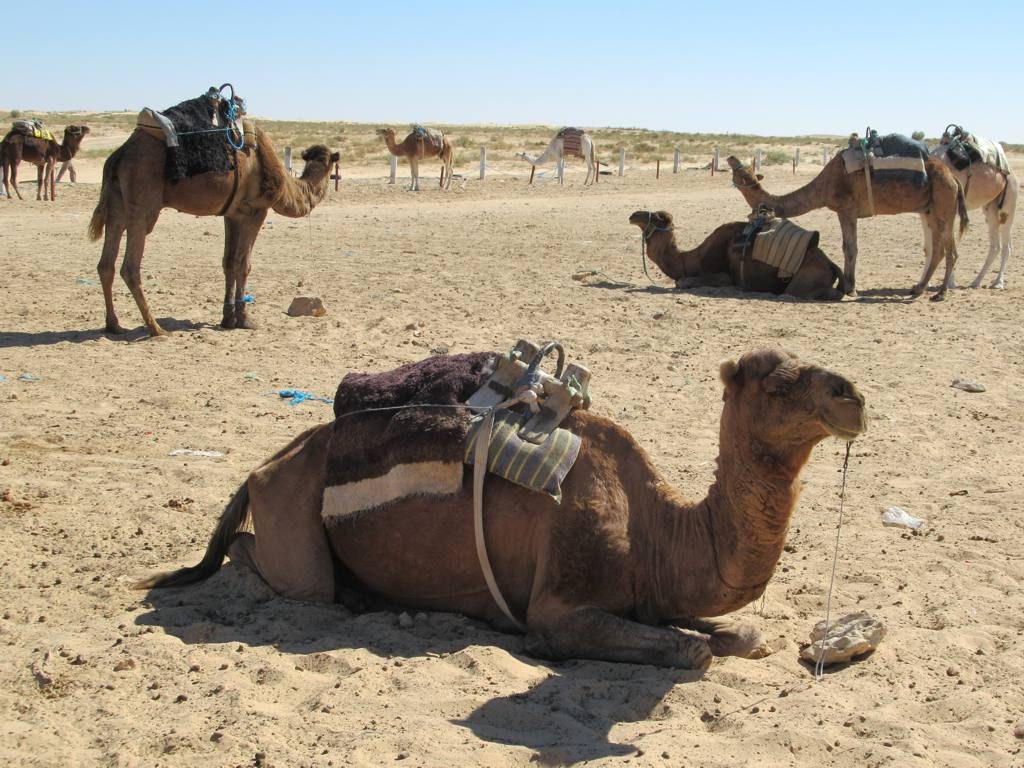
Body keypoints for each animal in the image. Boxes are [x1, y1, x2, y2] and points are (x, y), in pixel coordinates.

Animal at [88, 127, 338, 336]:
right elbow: (244, 264)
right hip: (143, 203)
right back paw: (156, 329)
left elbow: (229, 263)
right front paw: (246, 320)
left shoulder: (232, 214)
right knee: (130, 267)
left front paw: (228, 319)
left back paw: (114, 325)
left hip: (117, 205)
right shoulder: (256, 211)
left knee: (106, 264)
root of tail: (119, 154)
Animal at [136, 348, 866, 669]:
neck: (658, 526)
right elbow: (691, 652)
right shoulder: (560, 602)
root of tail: (266, 463)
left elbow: (740, 635)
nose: (852, 395)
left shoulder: (650, 596)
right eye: (777, 382)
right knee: (269, 563)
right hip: (292, 520)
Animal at [629, 210, 844, 300]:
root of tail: (831, 264)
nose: (634, 214)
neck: (696, 258)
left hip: (802, 280)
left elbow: (681, 282)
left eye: (657, 218)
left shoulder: (724, 275)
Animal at [727, 150, 968, 300]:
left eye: (740, 174)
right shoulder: (847, 212)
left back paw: (940, 294)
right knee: (938, 250)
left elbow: (849, 248)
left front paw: (850, 288)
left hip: (944, 205)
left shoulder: (846, 210)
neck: (822, 187)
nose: (733, 162)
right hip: (930, 210)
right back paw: (918, 288)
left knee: (951, 251)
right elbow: (850, 247)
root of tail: (954, 178)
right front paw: (849, 286)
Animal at [923, 131, 1019, 290]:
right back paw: (976, 281)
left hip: (1008, 206)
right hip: (990, 209)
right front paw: (924, 282)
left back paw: (998, 283)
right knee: (996, 245)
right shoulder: (925, 213)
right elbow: (928, 248)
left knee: (1006, 246)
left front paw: (949, 283)